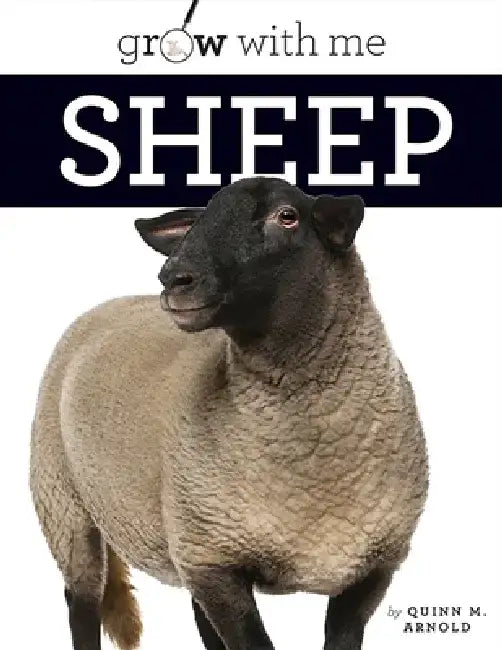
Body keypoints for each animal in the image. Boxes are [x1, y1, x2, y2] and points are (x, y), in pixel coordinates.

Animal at [30, 176, 428, 650]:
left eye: (287, 216)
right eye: (199, 220)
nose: (173, 277)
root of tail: (109, 304)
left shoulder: (374, 569)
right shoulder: (214, 561)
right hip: (64, 501)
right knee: (82, 602)